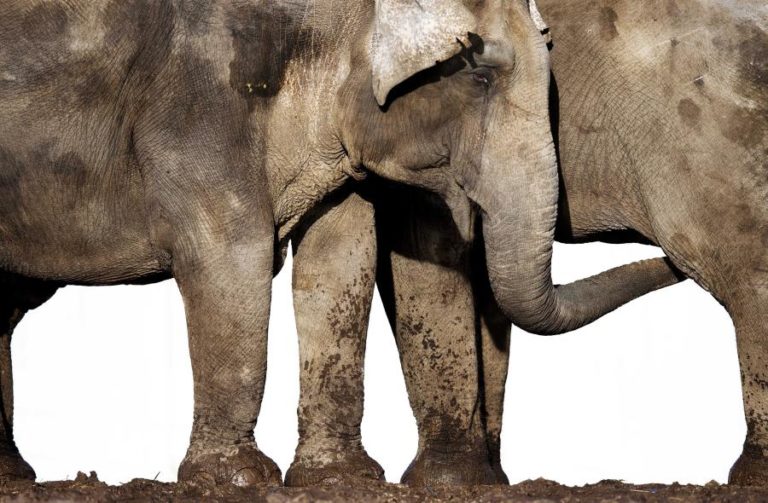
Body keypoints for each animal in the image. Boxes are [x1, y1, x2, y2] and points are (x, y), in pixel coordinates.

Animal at [0, 0, 681, 487]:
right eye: (481, 74)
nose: (671, 257)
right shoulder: (199, 98)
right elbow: (232, 259)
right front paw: (238, 479)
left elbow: (337, 262)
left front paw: (339, 479)